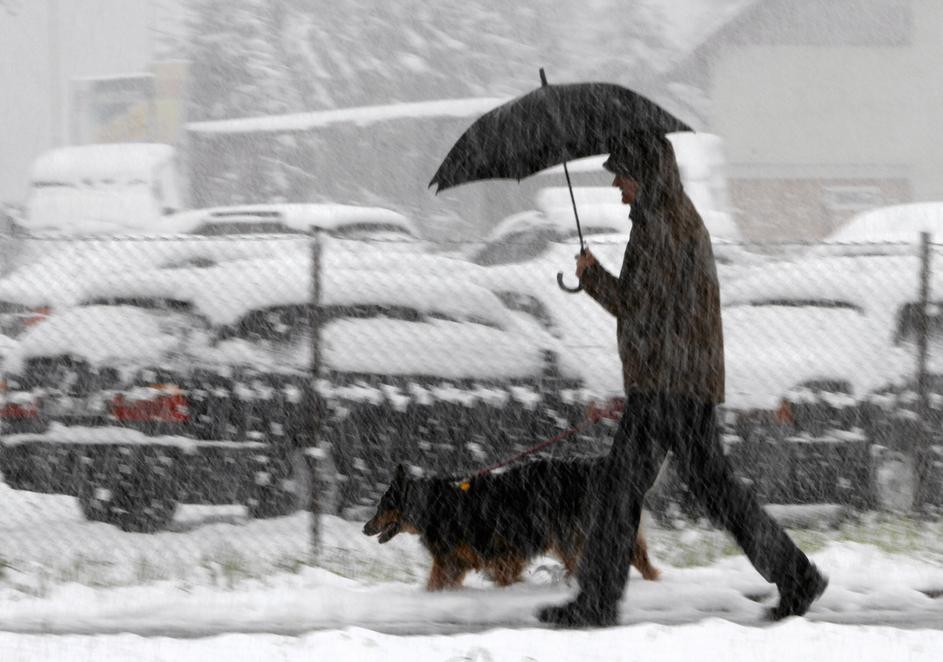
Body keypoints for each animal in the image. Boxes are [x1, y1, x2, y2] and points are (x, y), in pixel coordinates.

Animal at [366, 462, 660, 592]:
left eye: (382, 506)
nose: (365, 528)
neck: (434, 505)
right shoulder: (453, 560)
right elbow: (435, 582)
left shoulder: (502, 551)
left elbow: (505, 576)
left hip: (572, 532)